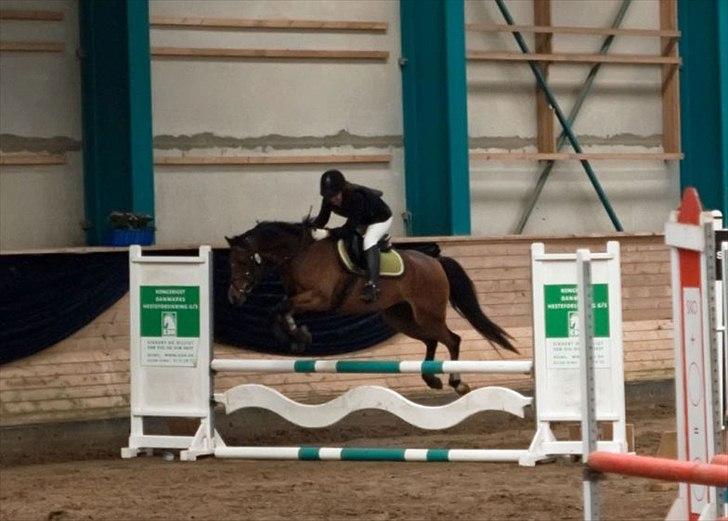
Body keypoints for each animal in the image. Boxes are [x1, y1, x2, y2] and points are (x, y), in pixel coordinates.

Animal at [225, 221, 517, 395]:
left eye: (242, 262)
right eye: (231, 263)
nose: (233, 298)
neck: (300, 254)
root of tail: (435, 261)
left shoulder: (319, 298)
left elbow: (279, 309)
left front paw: (298, 337)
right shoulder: (300, 299)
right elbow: (279, 311)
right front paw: (298, 337)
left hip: (428, 313)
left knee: (452, 339)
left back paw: (456, 382)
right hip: (400, 318)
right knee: (432, 341)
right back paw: (431, 378)